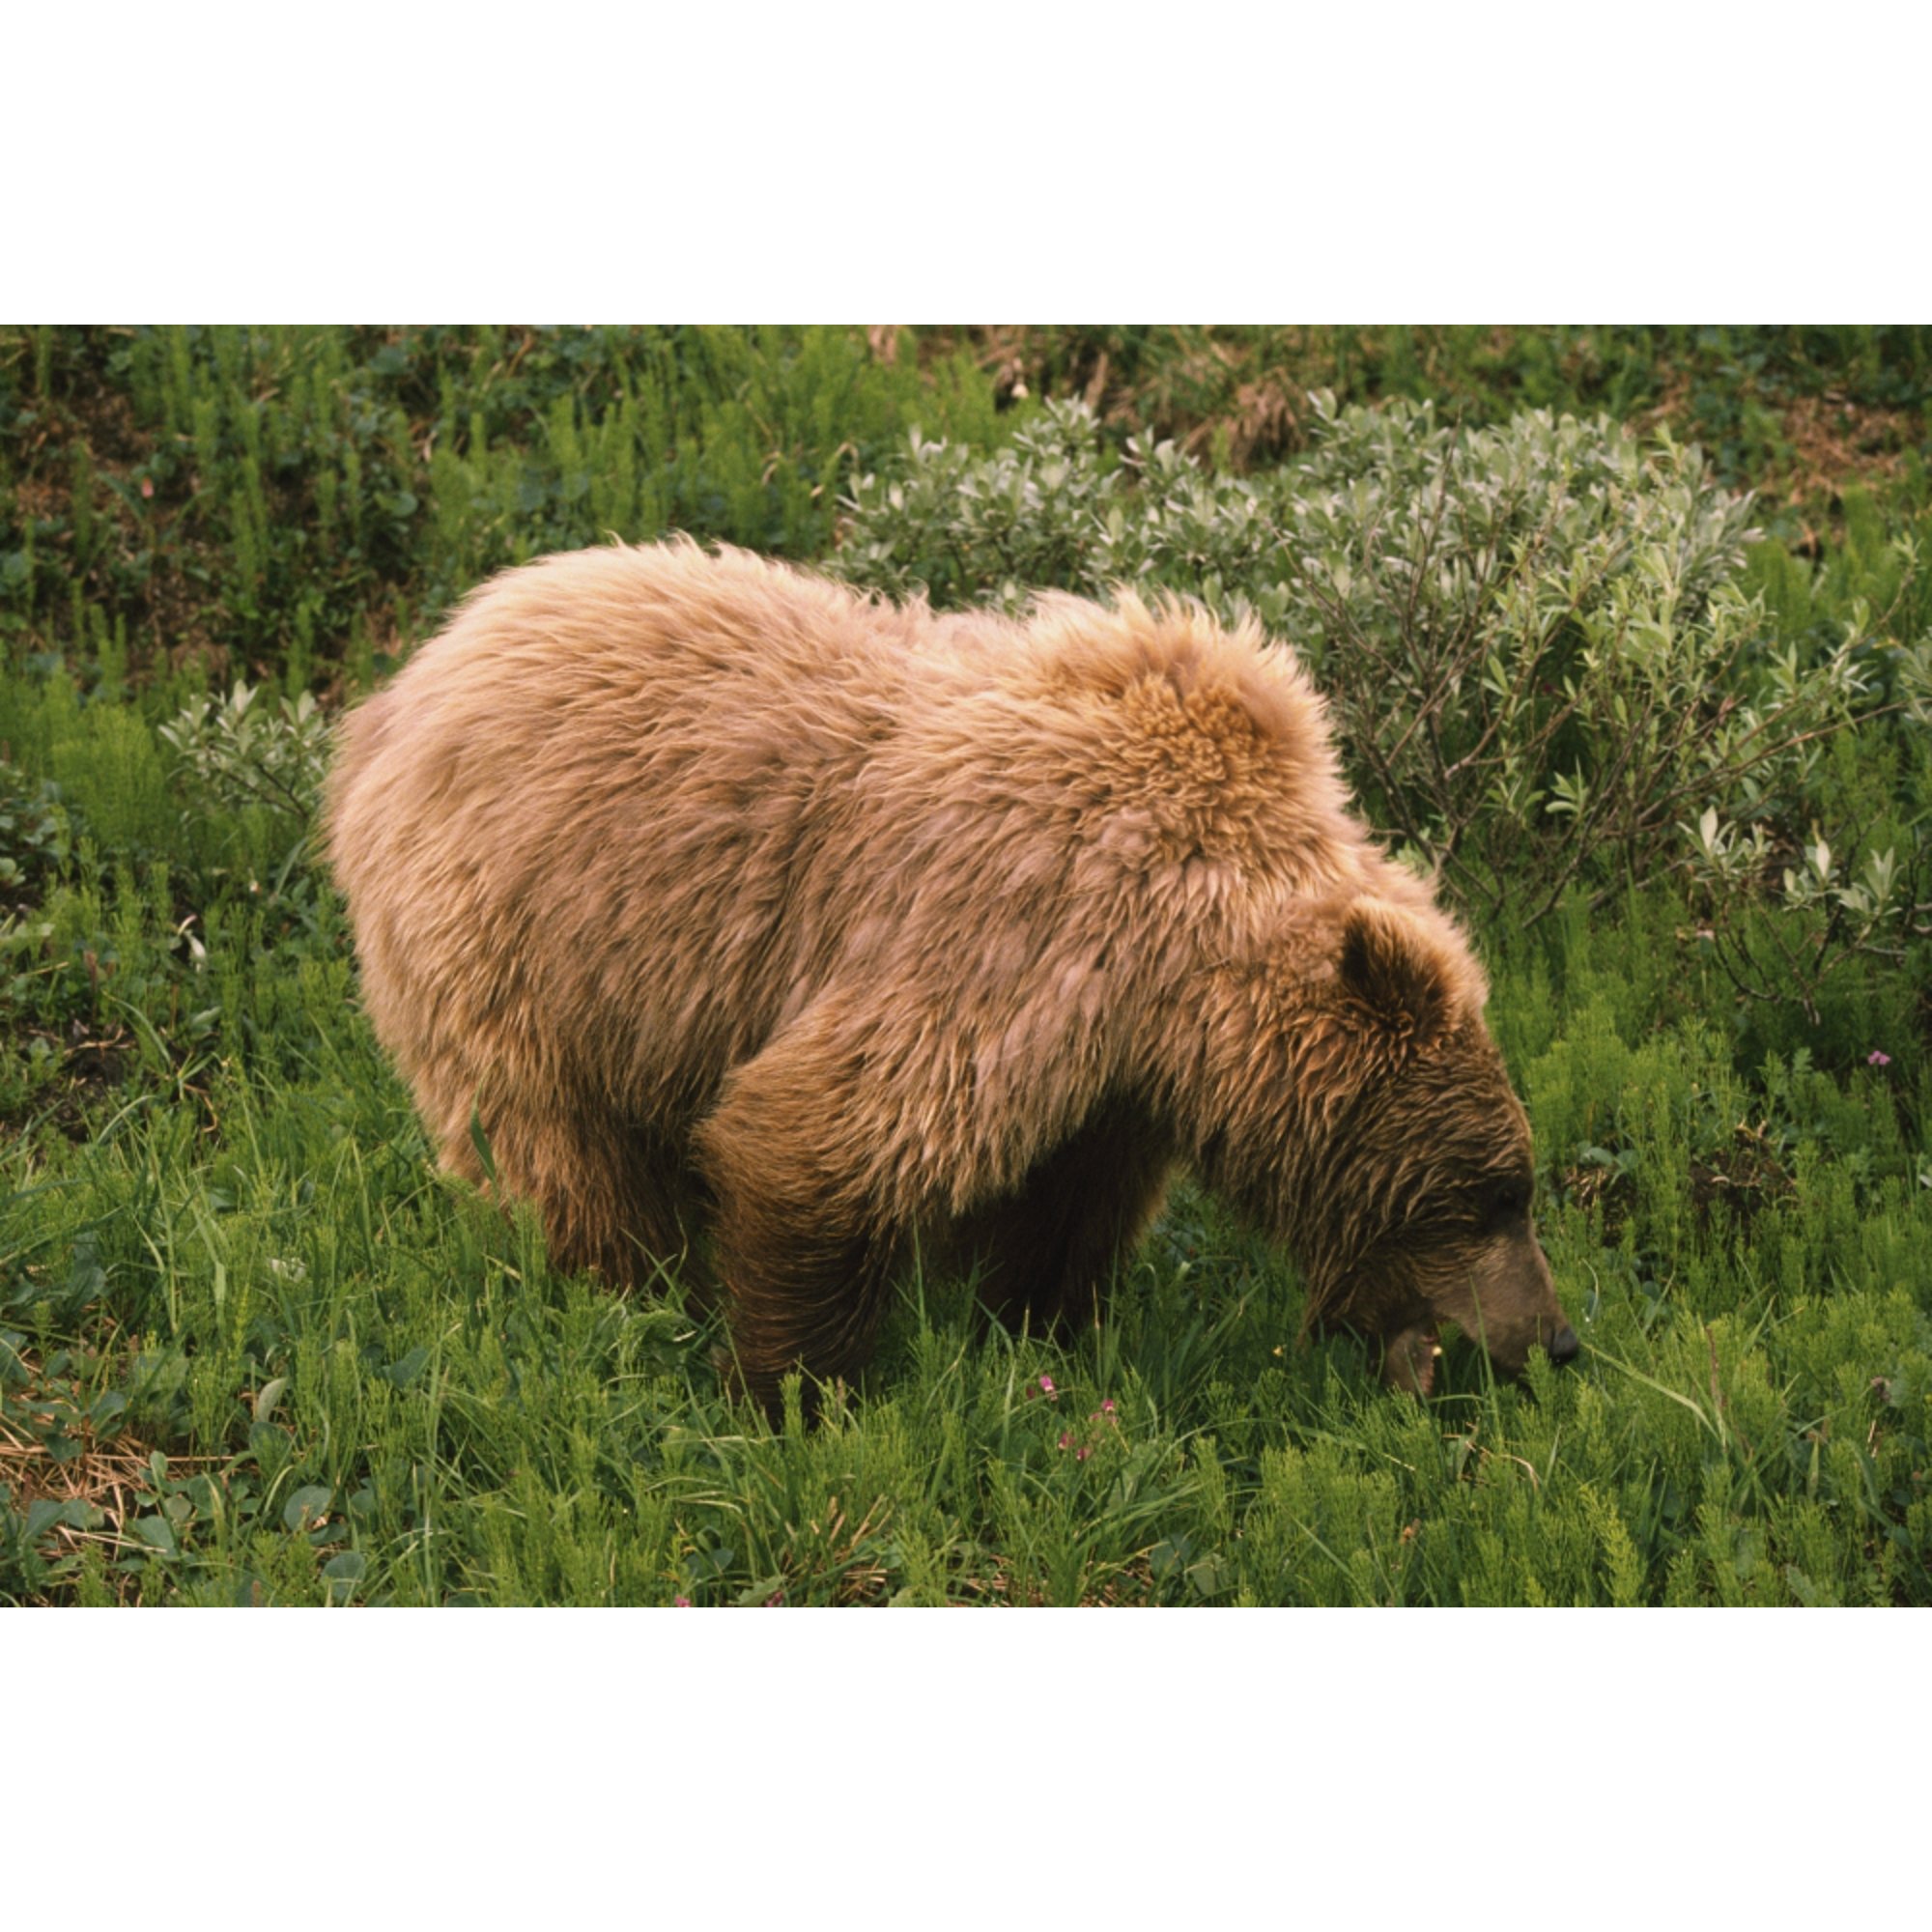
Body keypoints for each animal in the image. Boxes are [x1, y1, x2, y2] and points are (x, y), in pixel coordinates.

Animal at [324, 538, 1576, 1410]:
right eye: (1490, 1191)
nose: (1557, 1339)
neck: (1175, 970)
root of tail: (405, 678)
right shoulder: (1015, 925)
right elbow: (825, 1134)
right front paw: (791, 1387)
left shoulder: (1112, 1067)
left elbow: (1063, 1204)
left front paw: (1036, 1328)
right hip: (522, 939)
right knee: (567, 1147)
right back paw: (626, 1289)